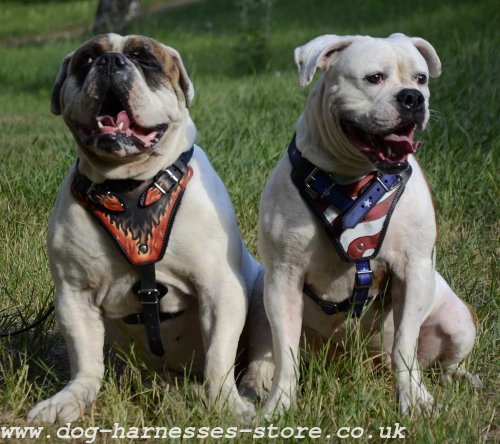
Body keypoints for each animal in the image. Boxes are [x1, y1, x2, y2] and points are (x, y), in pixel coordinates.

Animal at [27, 33, 274, 424]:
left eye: (145, 59)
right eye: (86, 60)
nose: (110, 62)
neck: (131, 186)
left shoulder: (220, 288)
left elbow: (218, 355)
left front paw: (227, 403)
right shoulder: (74, 294)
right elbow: (85, 360)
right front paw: (71, 398)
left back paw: (256, 385)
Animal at [258, 32, 480, 416]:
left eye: (421, 78)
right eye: (374, 77)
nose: (413, 97)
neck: (353, 181)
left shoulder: (413, 269)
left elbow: (405, 343)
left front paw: (414, 400)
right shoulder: (282, 278)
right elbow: (286, 353)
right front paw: (280, 406)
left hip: (458, 320)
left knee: (442, 363)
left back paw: (459, 379)